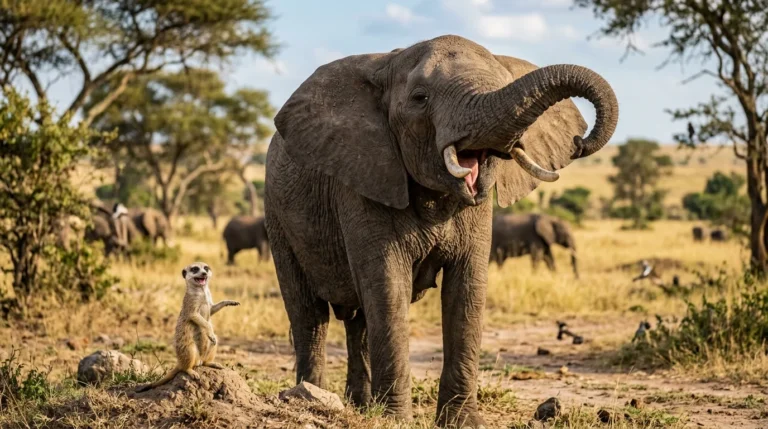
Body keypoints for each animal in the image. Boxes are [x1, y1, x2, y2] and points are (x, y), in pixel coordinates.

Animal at [264, 35, 618, 427]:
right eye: (420, 98)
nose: (581, 141)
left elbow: (467, 289)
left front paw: (461, 422)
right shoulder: (363, 178)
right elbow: (387, 287)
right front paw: (395, 421)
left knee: (359, 323)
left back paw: (359, 406)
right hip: (277, 215)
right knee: (309, 315)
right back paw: (310, 398)